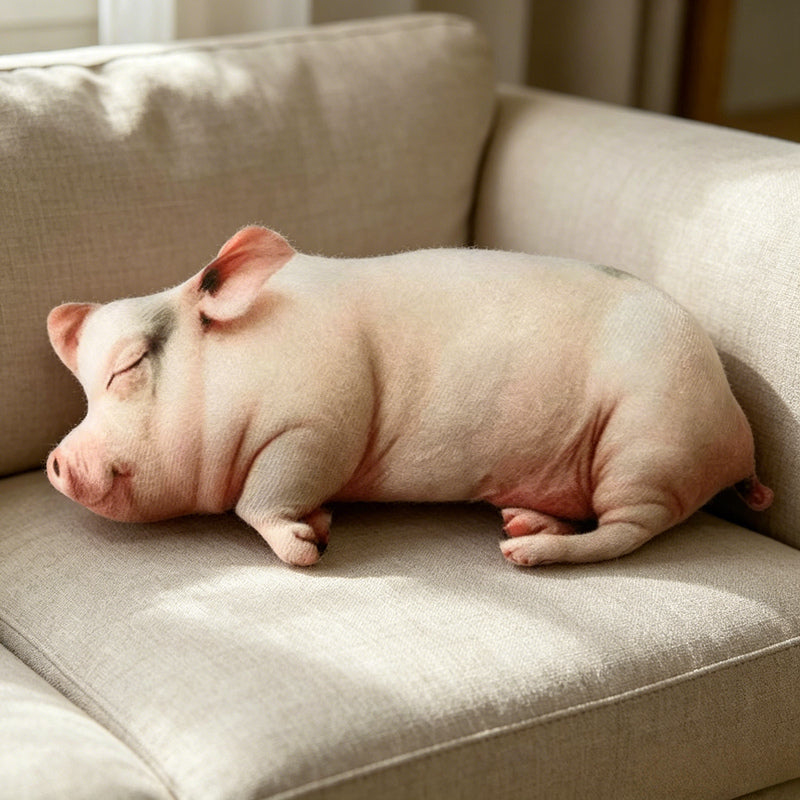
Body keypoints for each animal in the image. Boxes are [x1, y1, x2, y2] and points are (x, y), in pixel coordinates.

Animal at [46, 226, 773, 567]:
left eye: (128, 365)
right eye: (84, 388)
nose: (57, 459)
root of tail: (738, 430)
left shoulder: (316, 424)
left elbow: (262, 501)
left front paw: (312, 542)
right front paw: (321, 526)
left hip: (651, 443)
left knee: (628, 532)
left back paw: (521, 555)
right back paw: (521, 523)